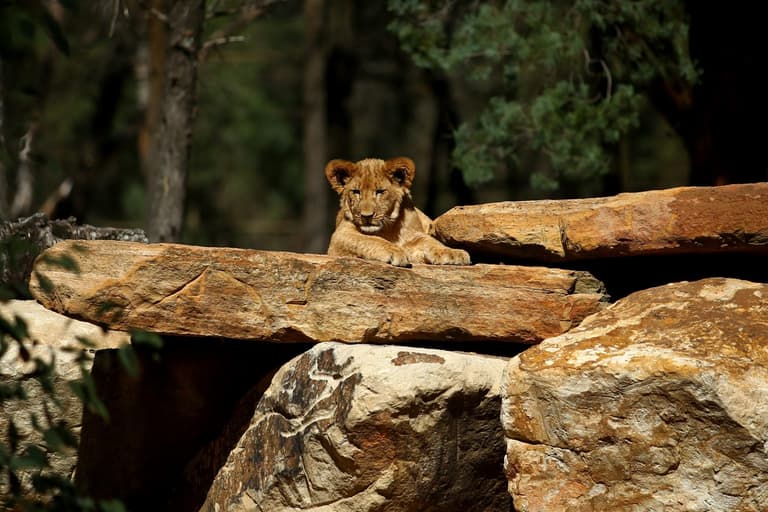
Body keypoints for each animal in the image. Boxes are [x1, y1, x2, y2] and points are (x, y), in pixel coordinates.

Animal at [325, 157, 471, 267]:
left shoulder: (415, 235)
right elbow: (370, 239)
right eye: (356, 192)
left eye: (380, 191)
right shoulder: (340, 235)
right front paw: (395, 251)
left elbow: (430, 241)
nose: (366, 216)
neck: (387, 229)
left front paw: (452, 253)